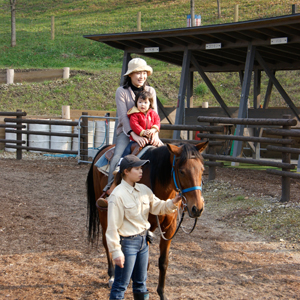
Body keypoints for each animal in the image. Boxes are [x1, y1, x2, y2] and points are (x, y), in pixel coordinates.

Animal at [86, 141, 209, 300]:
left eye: (202, 169)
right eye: (181, 171)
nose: (197, 208)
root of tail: (105, 148)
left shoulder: (169, 228)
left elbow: (163, 262)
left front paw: (162, 293)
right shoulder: (145, 228)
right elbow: (145, 264)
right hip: (104, 213)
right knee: (107, 242)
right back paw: (112, 275)